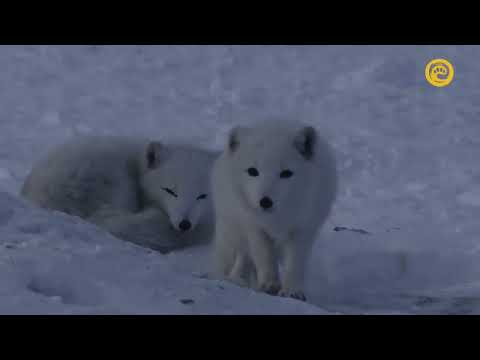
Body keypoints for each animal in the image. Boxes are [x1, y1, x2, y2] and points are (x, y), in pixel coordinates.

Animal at [210, 121, 338, 300]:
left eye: (286, 173)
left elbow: (294, 264)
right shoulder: (255, 228)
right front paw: (269, 285)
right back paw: (236, 278)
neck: (275, 219)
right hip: (234, 231)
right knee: (242, 256)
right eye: (252, 171)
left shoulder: (302, 230)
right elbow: (265, 258)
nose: (265, 202)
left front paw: (292, 291)